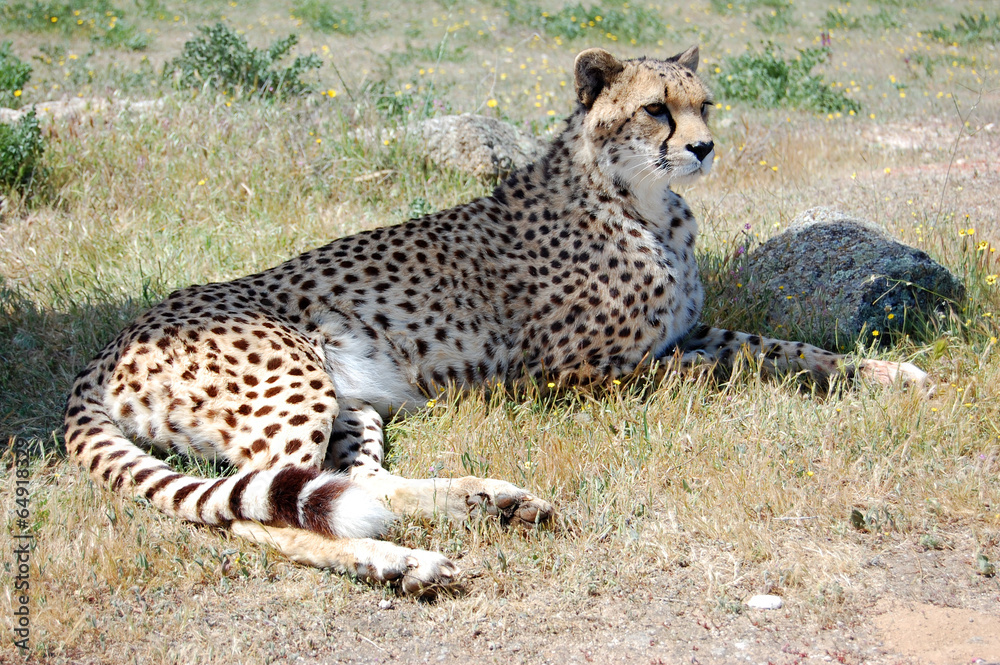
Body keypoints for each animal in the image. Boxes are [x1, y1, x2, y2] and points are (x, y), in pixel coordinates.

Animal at [62, 46, 924, 596]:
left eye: (703, 105)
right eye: (656, 111)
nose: (706, 147)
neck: (639, 200)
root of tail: (113, 339)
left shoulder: (682, 335)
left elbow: (782, 346)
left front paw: (887, 371)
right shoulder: (580, 371)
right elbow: (734, 366)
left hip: (354, 403)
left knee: (347, 486)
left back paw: (489, 501)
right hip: (295, 384)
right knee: (255, 513)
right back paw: (400, 564)